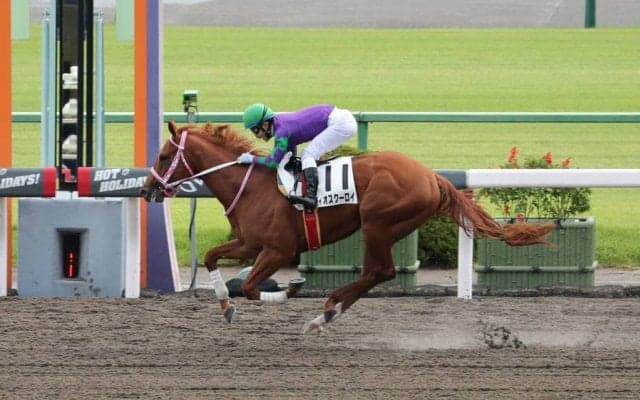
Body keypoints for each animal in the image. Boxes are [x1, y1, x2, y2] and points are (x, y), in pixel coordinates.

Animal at [141, 121, 555, 333]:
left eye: (163, 155)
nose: (146, 190)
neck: (252, 184)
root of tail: (432, 176)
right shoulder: (248, 243)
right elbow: (213, 258)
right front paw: (226, 306)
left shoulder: (277, 250)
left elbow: (252, 287)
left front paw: (290, 290)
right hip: (380, 227)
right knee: (375, 273)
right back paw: (329, 312)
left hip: (378, 223)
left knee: (380, 270)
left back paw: (324, 311)